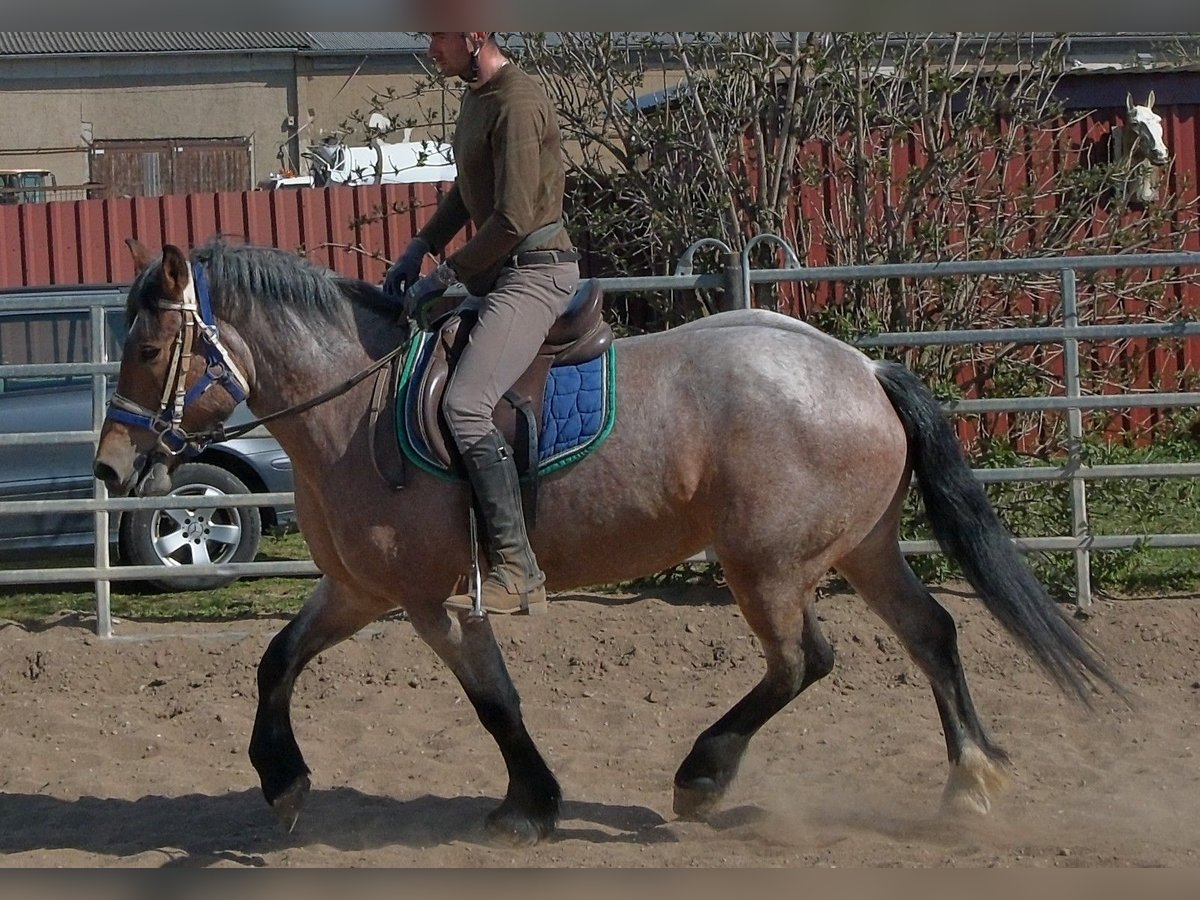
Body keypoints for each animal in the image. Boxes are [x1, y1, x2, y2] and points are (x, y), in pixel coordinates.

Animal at [92, 238, 1122, 847]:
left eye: (145, 350)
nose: (108, 468)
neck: (357, 407)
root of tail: (861, 369)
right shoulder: (358, 591)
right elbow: (276, 658)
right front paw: (282, 780)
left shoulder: (429, 600)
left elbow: (494, 701)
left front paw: (532, 803)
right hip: (862, 548)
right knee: (932, 636)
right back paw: (969, 783)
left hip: (768, 565)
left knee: (804, 660)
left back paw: (703, 778)